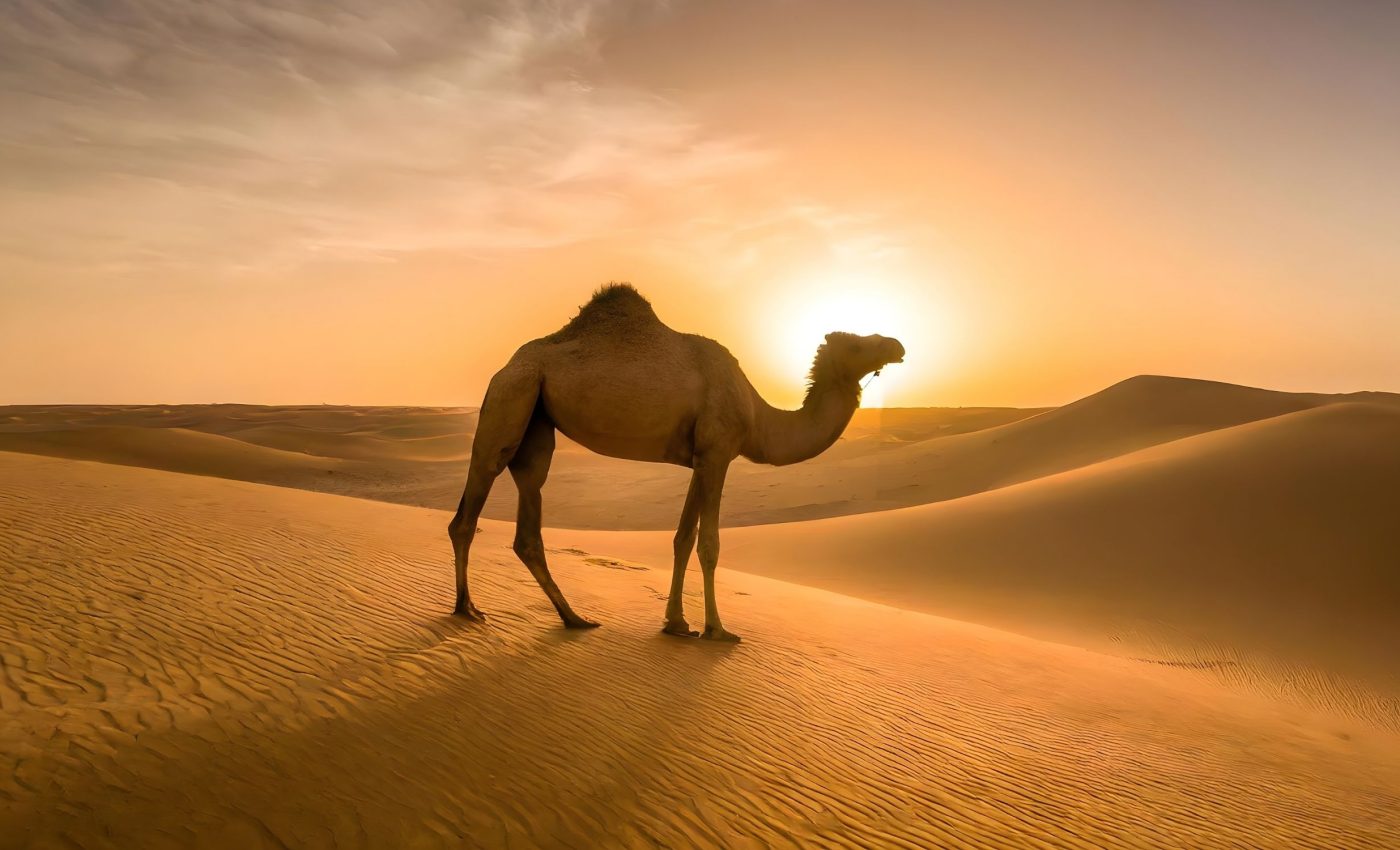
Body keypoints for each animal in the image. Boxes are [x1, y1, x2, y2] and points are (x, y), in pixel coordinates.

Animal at [449, 283, 904, 641]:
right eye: (859, 343)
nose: (897, 345)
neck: (759, 418)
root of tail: (506, 366)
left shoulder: (699, 460)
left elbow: (683, 538)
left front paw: (676, 623)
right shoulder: (718, 453)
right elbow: (710, 544)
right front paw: (717, 629)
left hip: (537, 419)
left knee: (528, 511)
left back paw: (573, 618)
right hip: (512, 394)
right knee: (472, 502)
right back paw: (467, 609)